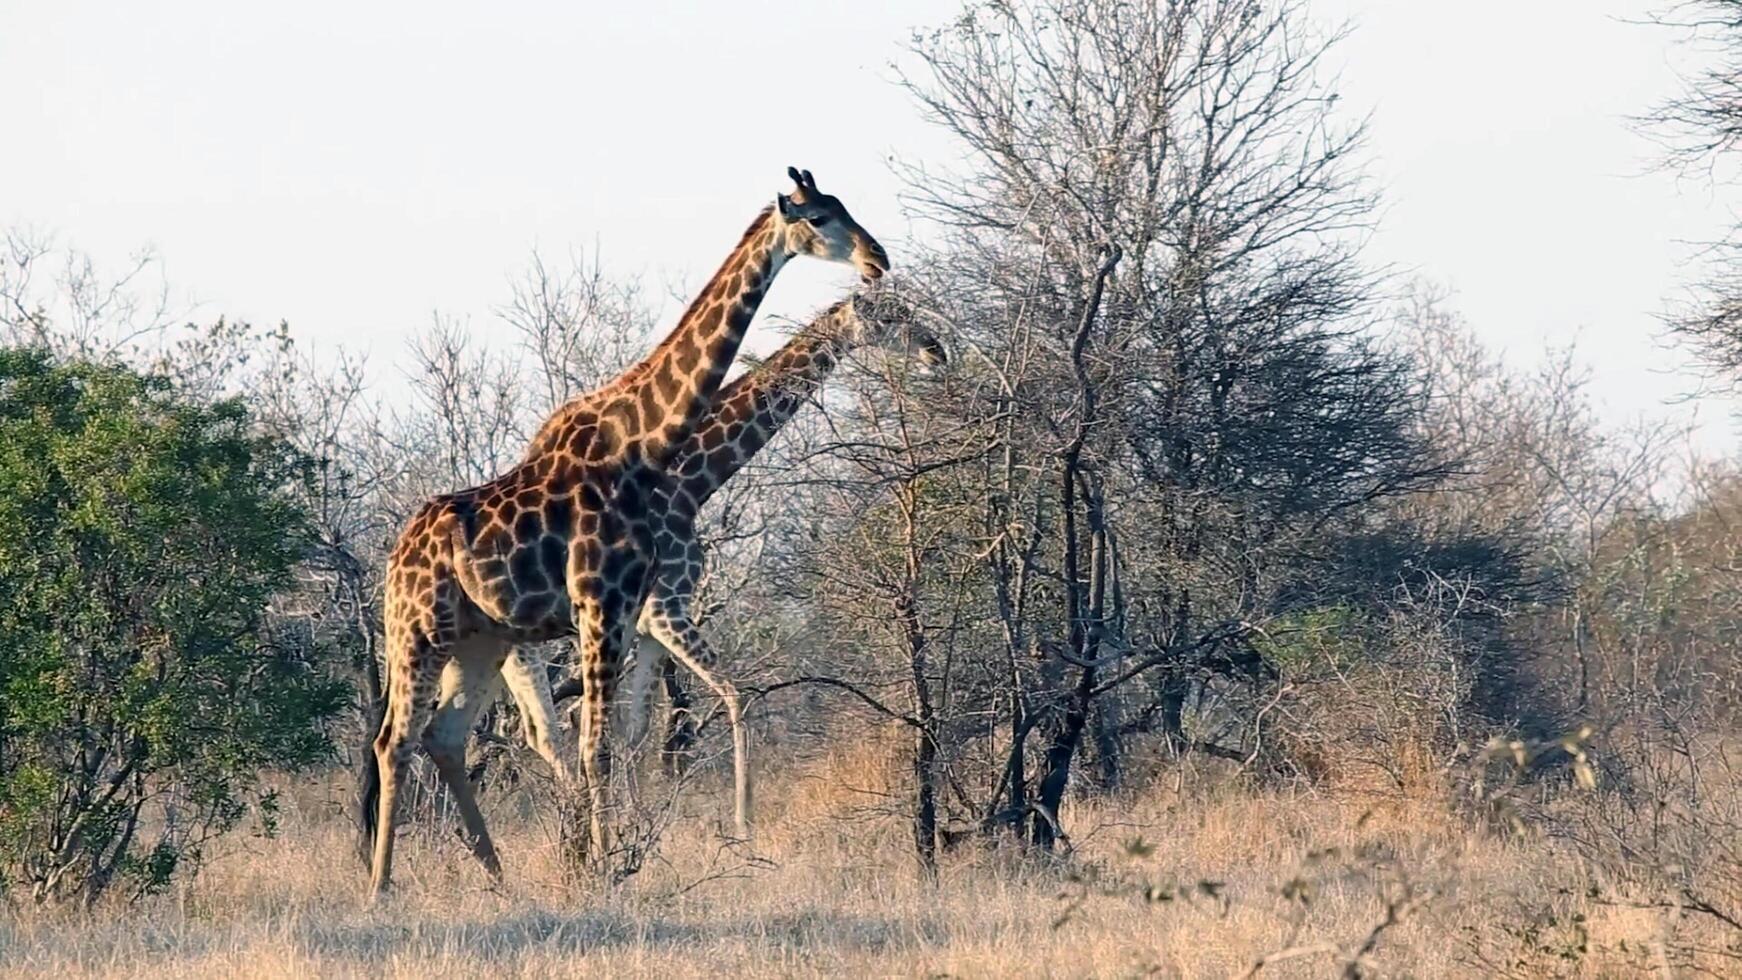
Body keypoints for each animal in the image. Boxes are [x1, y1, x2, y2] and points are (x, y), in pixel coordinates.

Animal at [362, 167, 891, 898]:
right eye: (818, 217)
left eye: (844, 206)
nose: (878, 259)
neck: (644, 445)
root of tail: (392, 560)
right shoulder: (606, 603)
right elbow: (600, 745)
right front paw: (607, 864)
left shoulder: (632, 607)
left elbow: (622, 738)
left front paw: (612, 853)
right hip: (420, 631)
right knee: (396, 741)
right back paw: (382, 886)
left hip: (481, 639)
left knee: (445, 736)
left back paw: (498, 875)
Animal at [512, 283, 954, 835]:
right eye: (891, 318)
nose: (937, 351)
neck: (690, 485)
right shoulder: (666, 610)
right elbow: (736, 692)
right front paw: (744, 822)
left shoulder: (651, 624)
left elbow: (636, 729)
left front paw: (641, 824)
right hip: (523, 644)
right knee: (542, 731)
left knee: (539, 731)